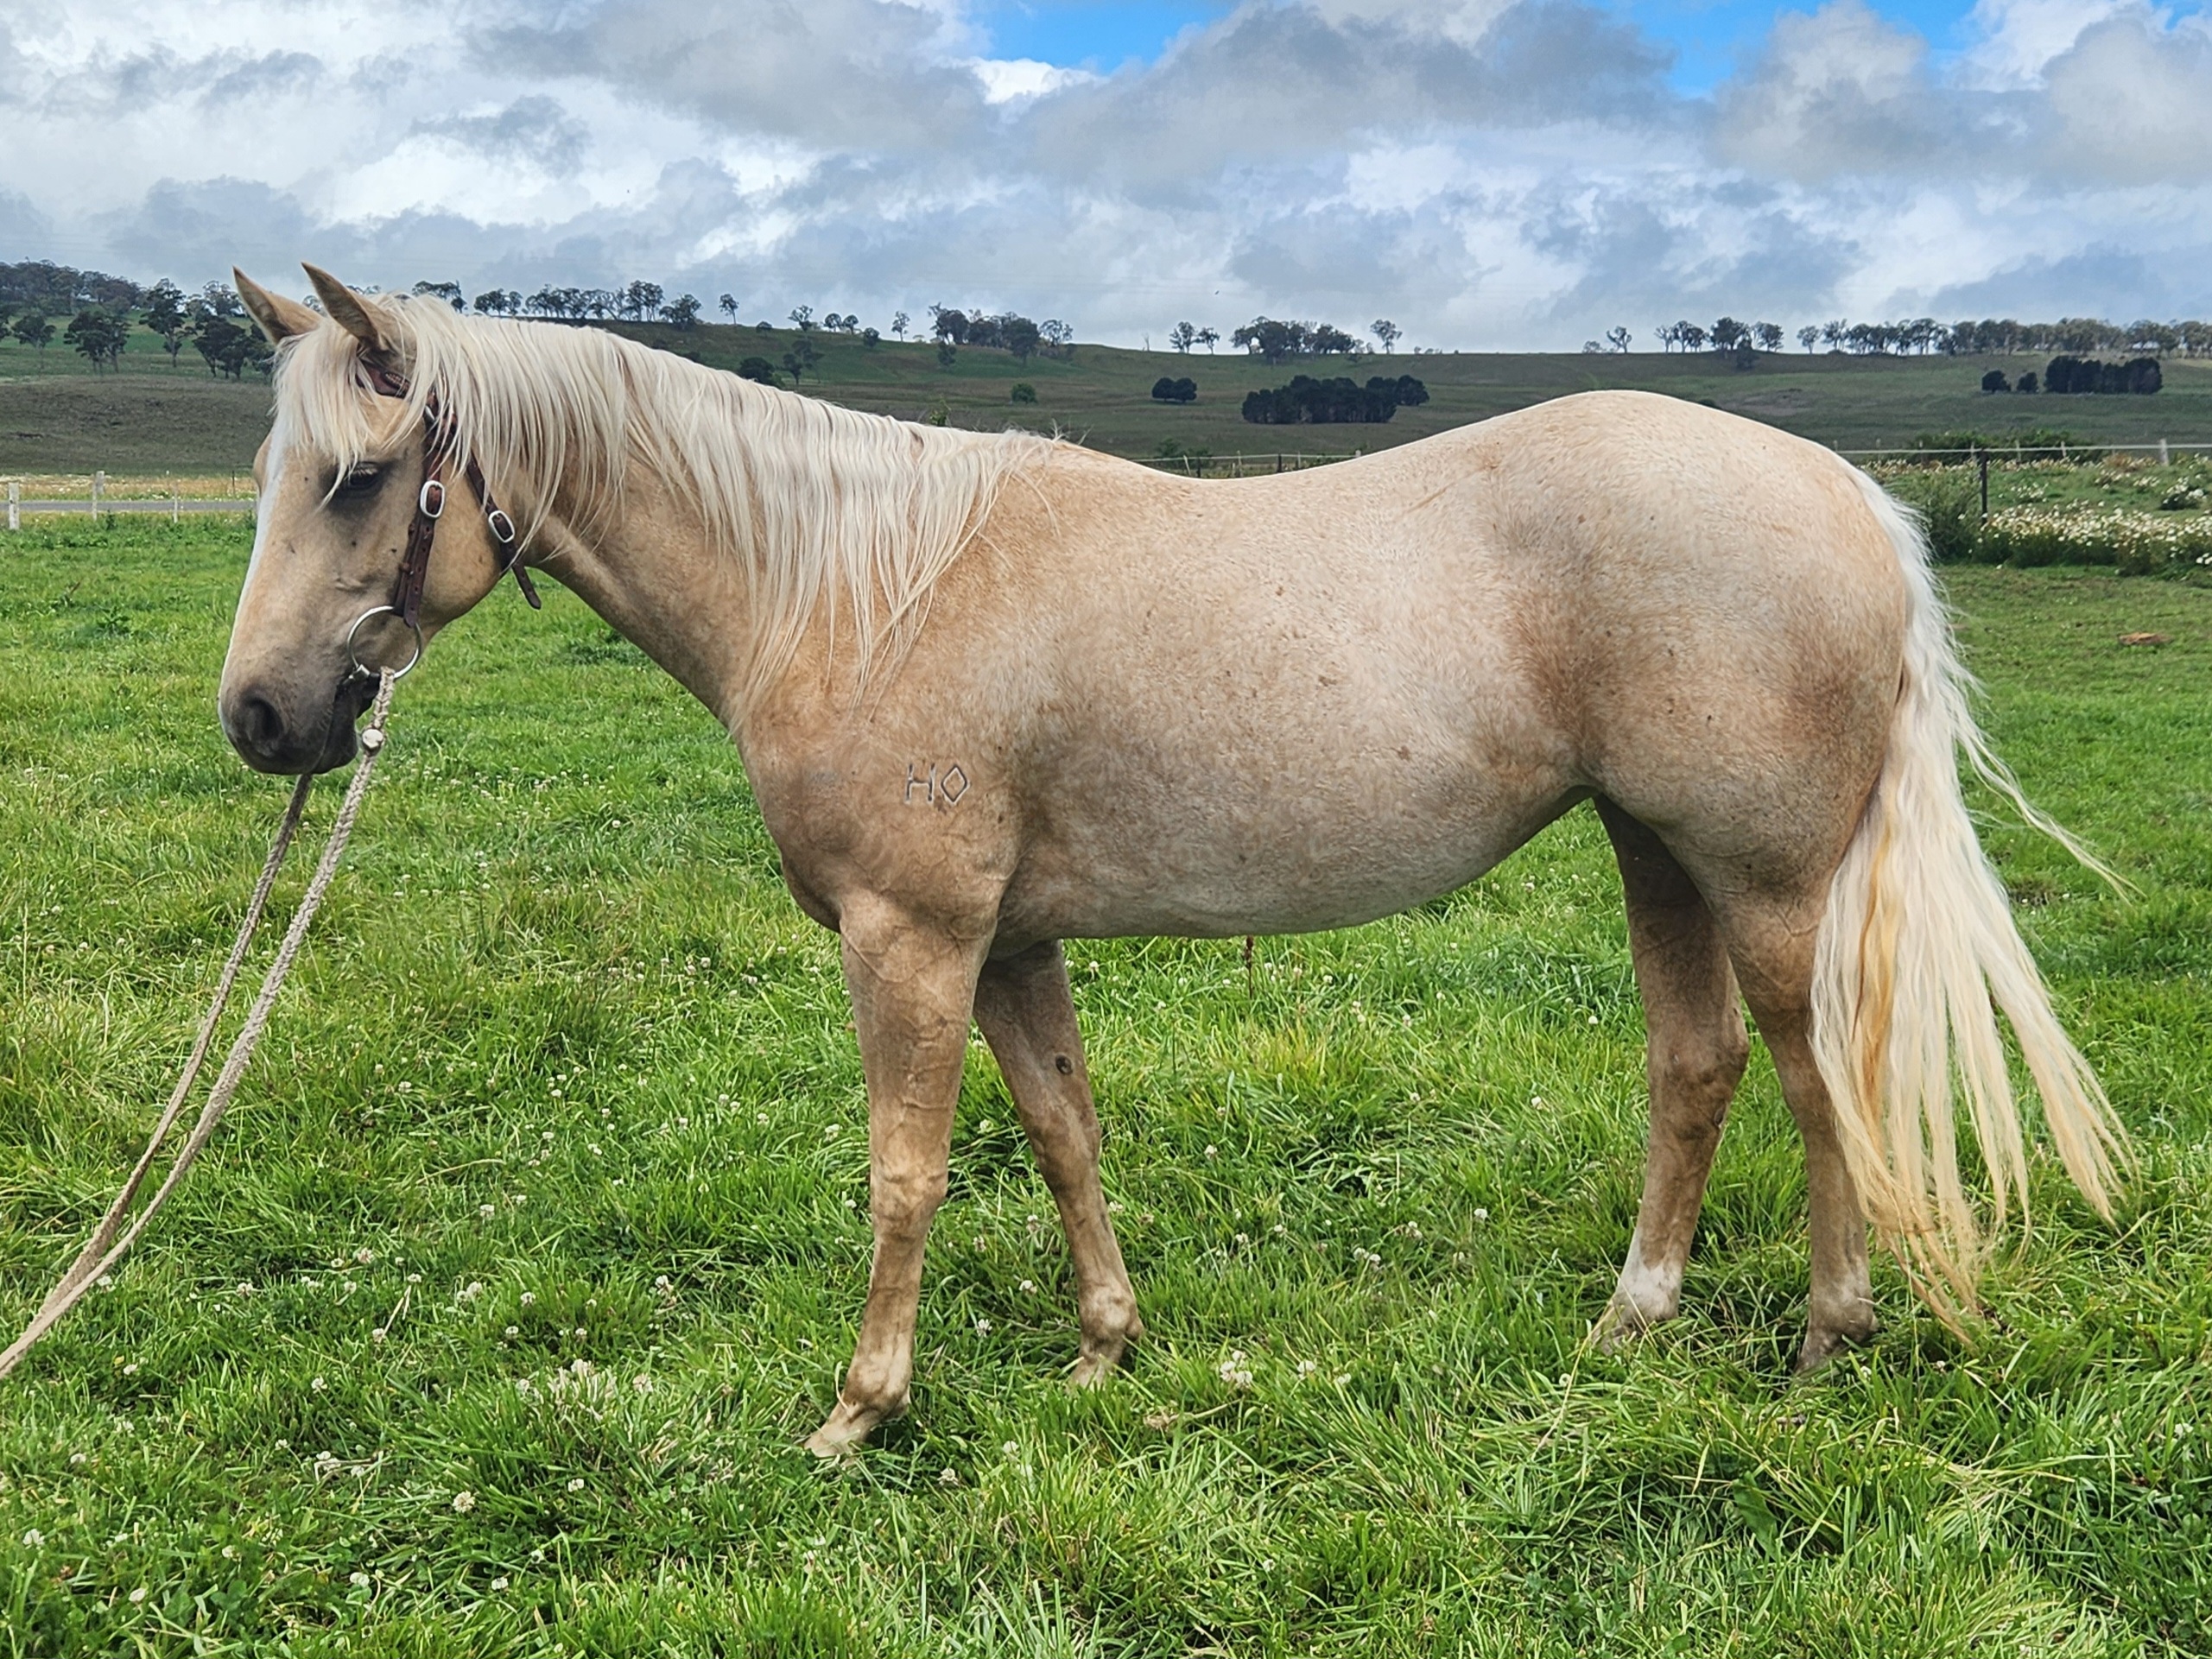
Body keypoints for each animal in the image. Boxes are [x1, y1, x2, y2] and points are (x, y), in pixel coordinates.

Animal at [221, 266, 2124, 1456]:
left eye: (362, 476)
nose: (261, 716)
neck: (850, 580)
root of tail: (1853, 497)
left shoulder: (907, 937)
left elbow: (904, 1172)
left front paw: (860, 1408)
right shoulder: (1005, 943)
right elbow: (1062, 1131)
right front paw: (1100, 1348)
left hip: (1761, 879)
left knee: (1816, 1076)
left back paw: (1826, 1337)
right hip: (1650, 849)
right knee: (1696, 1063)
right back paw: (1630, 1323)